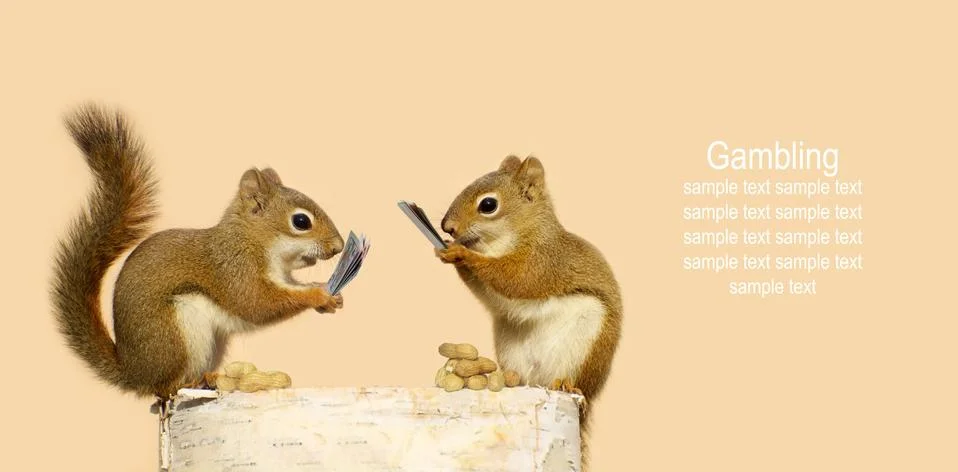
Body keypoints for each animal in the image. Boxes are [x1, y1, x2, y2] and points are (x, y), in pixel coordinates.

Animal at [50, 105, 345, 398]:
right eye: (301, 221)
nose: (339, 247)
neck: (252, 241)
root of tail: (134, 373)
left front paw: (331, 298)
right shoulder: (234, 270)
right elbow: (257, 303)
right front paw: (318, 295)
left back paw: (209, 378)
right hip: (176, 335)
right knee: (164, 388)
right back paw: (190, 384)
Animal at [436, 155, 622, 465]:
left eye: (488, 205)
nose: (446, 227)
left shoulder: (543, 261)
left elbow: (515, 279)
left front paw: (462, 253)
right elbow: (495, 296)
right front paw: (449, 250)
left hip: (586, 346)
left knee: (576, 383)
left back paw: (566, 385)